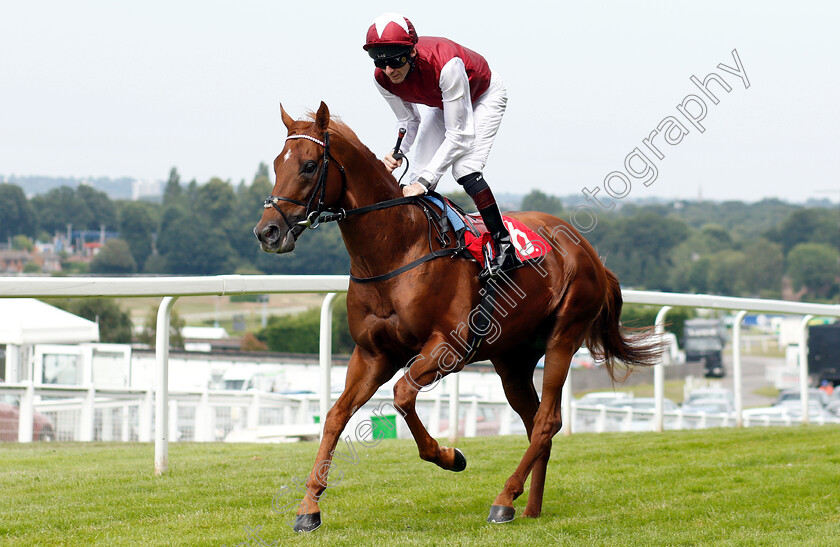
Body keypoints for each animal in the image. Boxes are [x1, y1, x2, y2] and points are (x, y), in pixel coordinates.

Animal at [253, 101, 660, 532]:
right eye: (276, 163)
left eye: (309, 165)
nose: (268, 232)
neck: (397, 250)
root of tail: (589, 251)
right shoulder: (372, 354)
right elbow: (335, 416)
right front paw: (308, 507)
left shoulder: (449, 347)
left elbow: (402, 395)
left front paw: (450, 456)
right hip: (513, 360)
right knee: (536, 423)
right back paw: (529, 507)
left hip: (564, 335)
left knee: (547, 421)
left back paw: (504, 499)